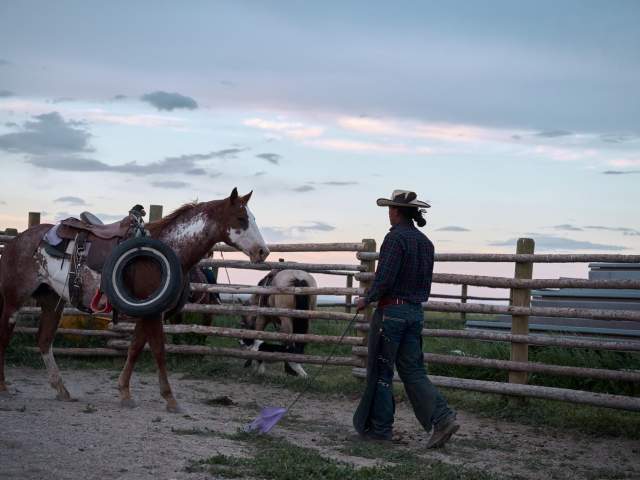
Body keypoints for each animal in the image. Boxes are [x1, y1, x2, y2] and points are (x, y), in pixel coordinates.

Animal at [0, 188, 269, 412]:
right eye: (241, 219)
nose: (263, 252)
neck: (169, 249)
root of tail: (18, 240)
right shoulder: (153, 314)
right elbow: (158, 350)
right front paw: (170, 398)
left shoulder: (148, 313)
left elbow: (135, 348)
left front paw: (125, 392)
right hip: (14, 300)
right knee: (6, 335)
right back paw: (4, 387)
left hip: (52, 301)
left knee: (44, 340)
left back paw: (61, 389)